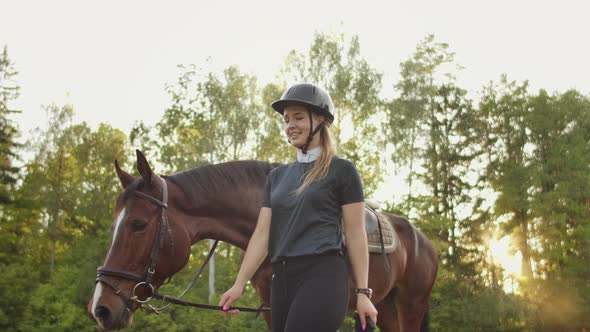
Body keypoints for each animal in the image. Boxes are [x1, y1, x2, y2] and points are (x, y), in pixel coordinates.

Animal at [89, 151, 440, 332]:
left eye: (138, 224)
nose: (100, 308)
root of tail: (425, 241)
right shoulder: (273, 306)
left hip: (410, 306)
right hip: (387, 307)